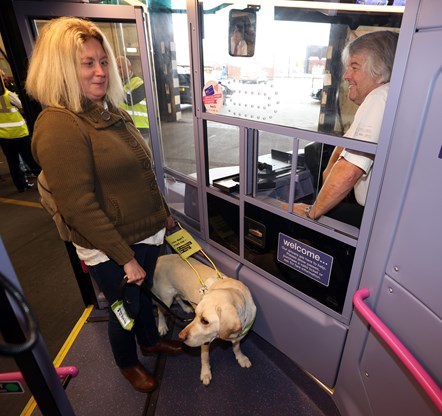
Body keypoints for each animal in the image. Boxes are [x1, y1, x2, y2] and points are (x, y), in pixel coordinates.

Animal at [151, 254, 256, 386]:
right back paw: (162, 326)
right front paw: (205, 373)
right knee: (160, 309)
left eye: (205, 321)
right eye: (196, 315)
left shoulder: (238, 337)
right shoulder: (205, 343)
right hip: (166, 299)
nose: (180, 336)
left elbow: (236, 348)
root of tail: (160, 257)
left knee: (178, 297)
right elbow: (205, 358)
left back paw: (185, 307)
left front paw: (241, 358)